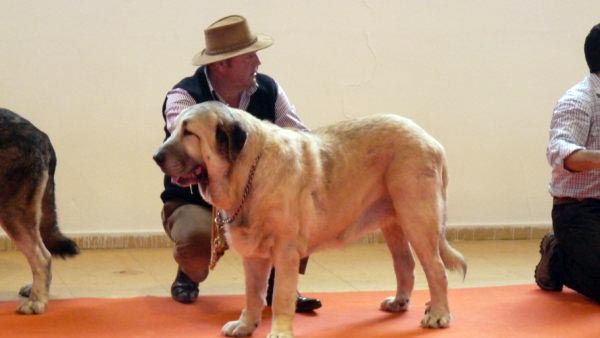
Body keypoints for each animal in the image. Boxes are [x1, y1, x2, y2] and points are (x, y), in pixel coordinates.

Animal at [152, 101, 466, 338]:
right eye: (173, 129)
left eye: (189, 132)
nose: (156, 156)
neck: (248, 172)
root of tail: (432, 142)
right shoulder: (254, 256)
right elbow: (253, 294)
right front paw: (245, 325)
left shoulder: (285, 252)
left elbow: (280, 296)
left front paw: (279, 331)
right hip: (394, 222)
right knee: (405, 264)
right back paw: (400, 303)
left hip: (417, 218)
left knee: (435, 269)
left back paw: (438, 314)